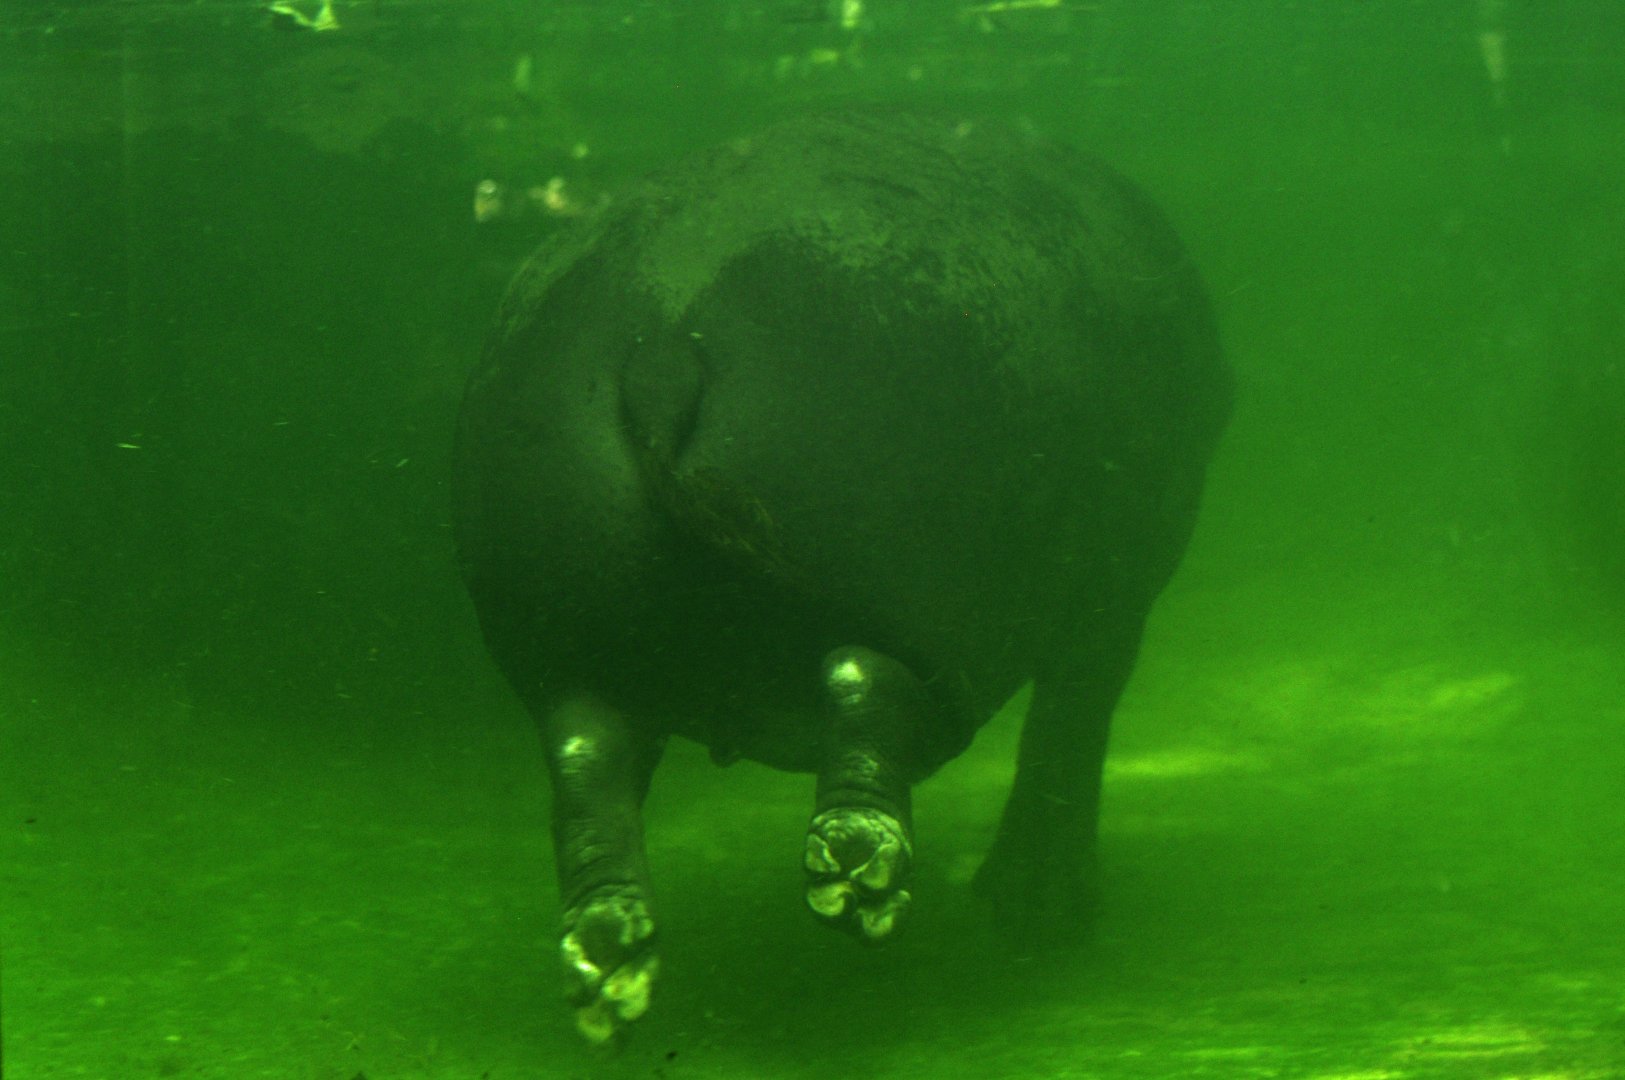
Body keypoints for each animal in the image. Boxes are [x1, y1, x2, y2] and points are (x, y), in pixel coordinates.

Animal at [453, 110, 1231, 1042]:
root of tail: (664, 346)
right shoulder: (1112, 589)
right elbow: (1072, 722)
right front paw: (1040, 912)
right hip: (918, 592)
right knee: (869, 684)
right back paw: (861, 870)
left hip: (565, 635)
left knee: (585, 755)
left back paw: (610, 957)